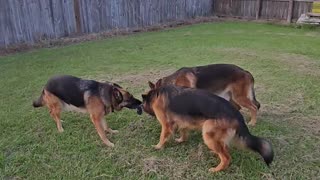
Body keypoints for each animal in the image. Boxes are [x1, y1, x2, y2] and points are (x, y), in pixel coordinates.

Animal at [141, 85, 274, 172]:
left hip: (207, 130)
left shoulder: (166, 125)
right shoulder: (184, 120)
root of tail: (237, 114)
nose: (141, 108)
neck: (157, 94)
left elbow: (162, 136)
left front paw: (158, 146)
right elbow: (184, 131)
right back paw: (215, 153)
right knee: (224, 148)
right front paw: (181, 140)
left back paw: (216, 169)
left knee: (226, 157)